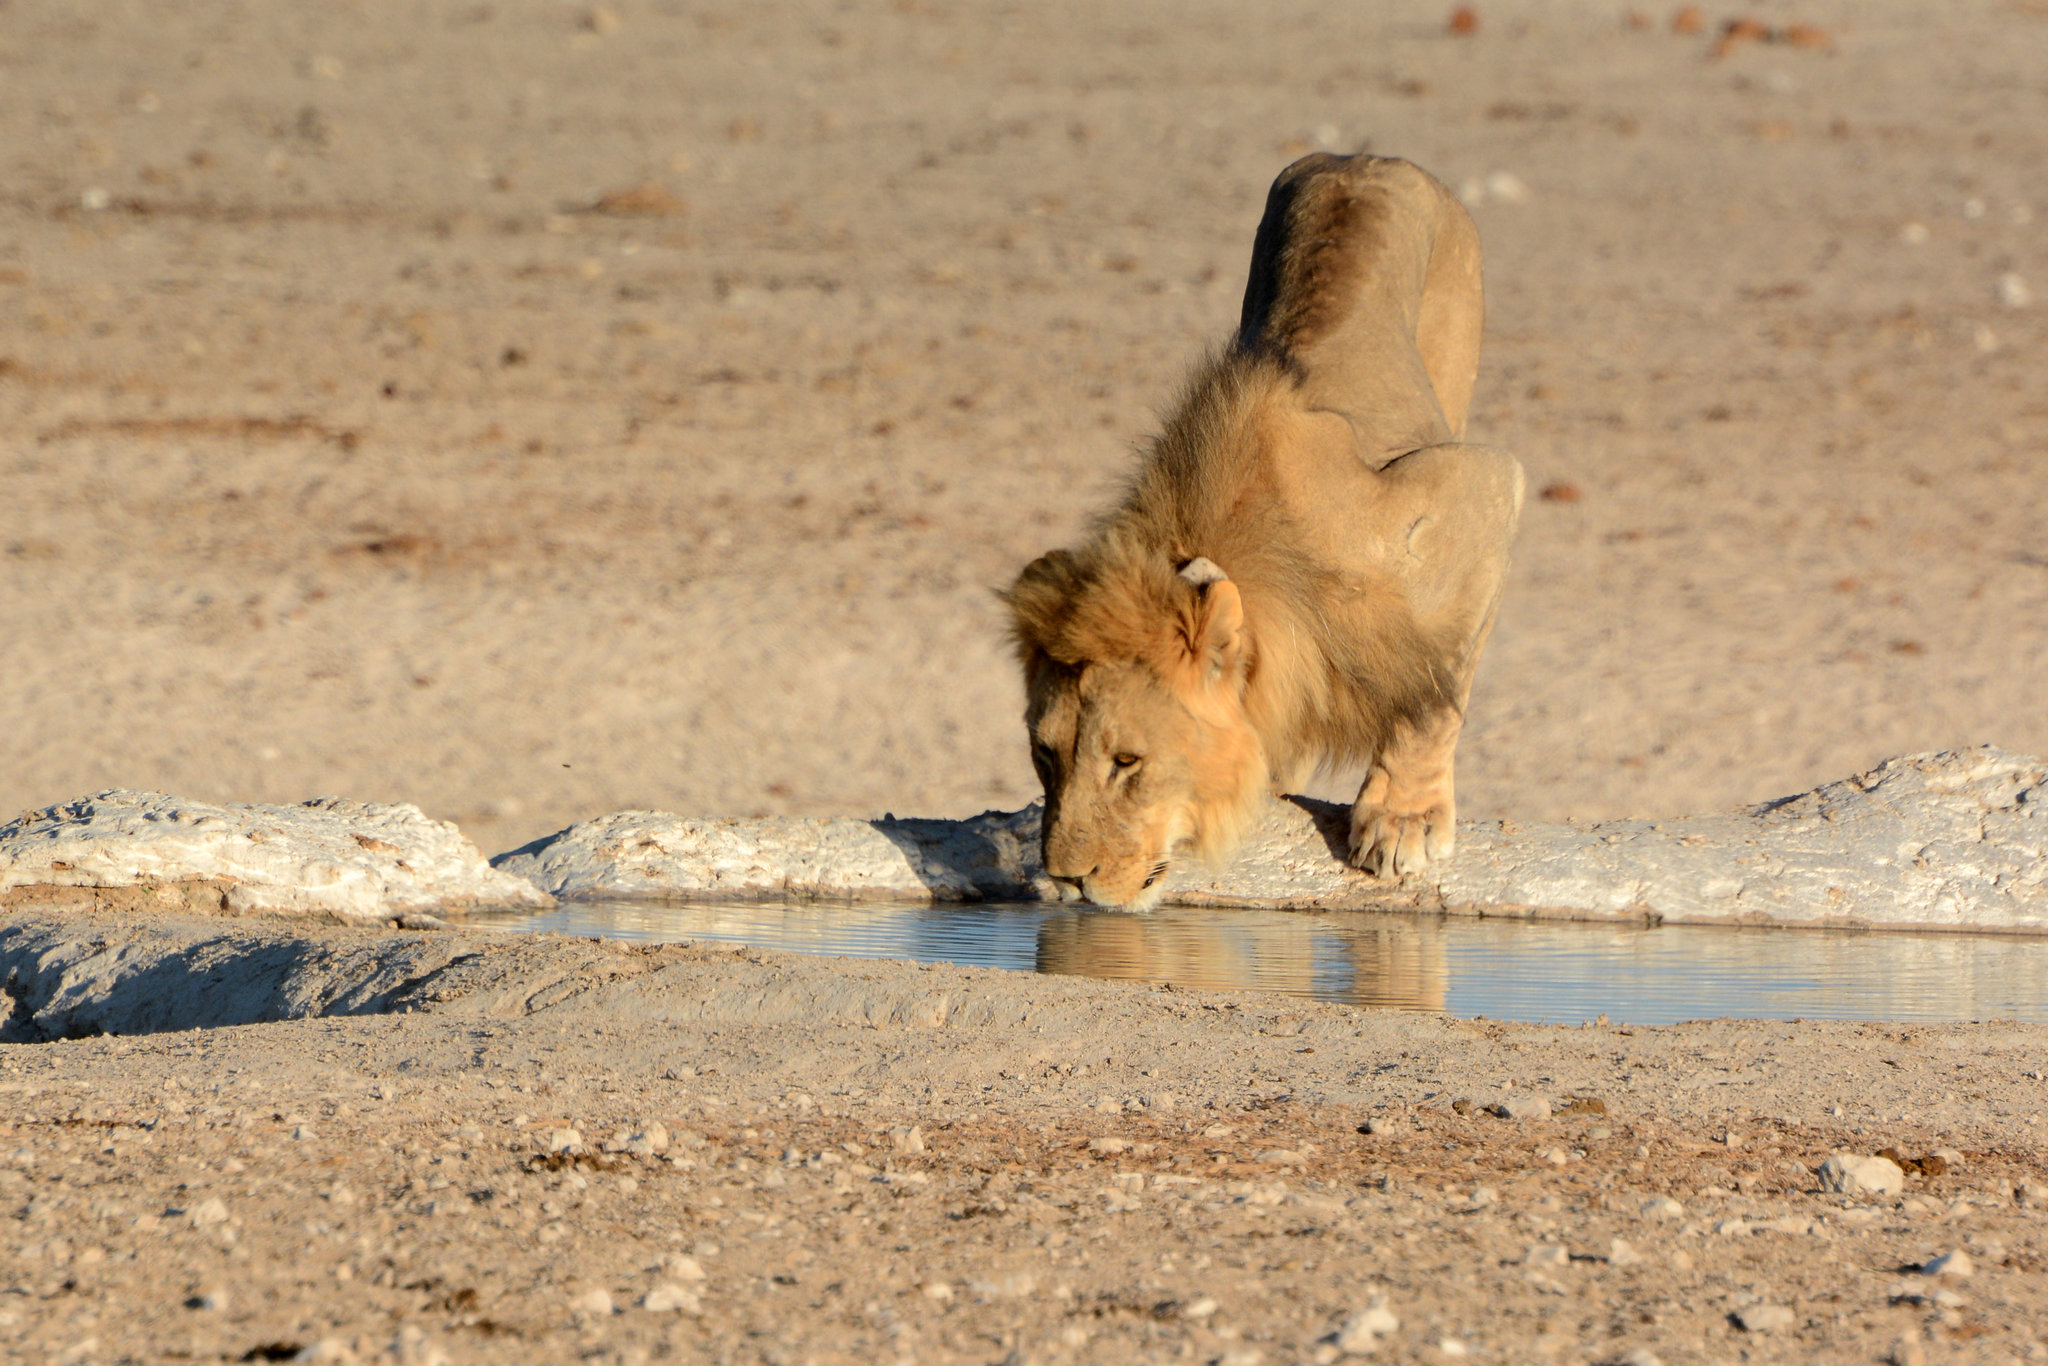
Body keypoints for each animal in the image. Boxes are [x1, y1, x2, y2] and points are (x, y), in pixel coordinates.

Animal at [1003, 154, 1523, 909]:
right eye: (1045, 754)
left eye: (1127, 762)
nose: (1067, 881)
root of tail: (1364, 157)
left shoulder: (1480, 488)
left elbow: (1437, 691)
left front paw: (1403, 820)